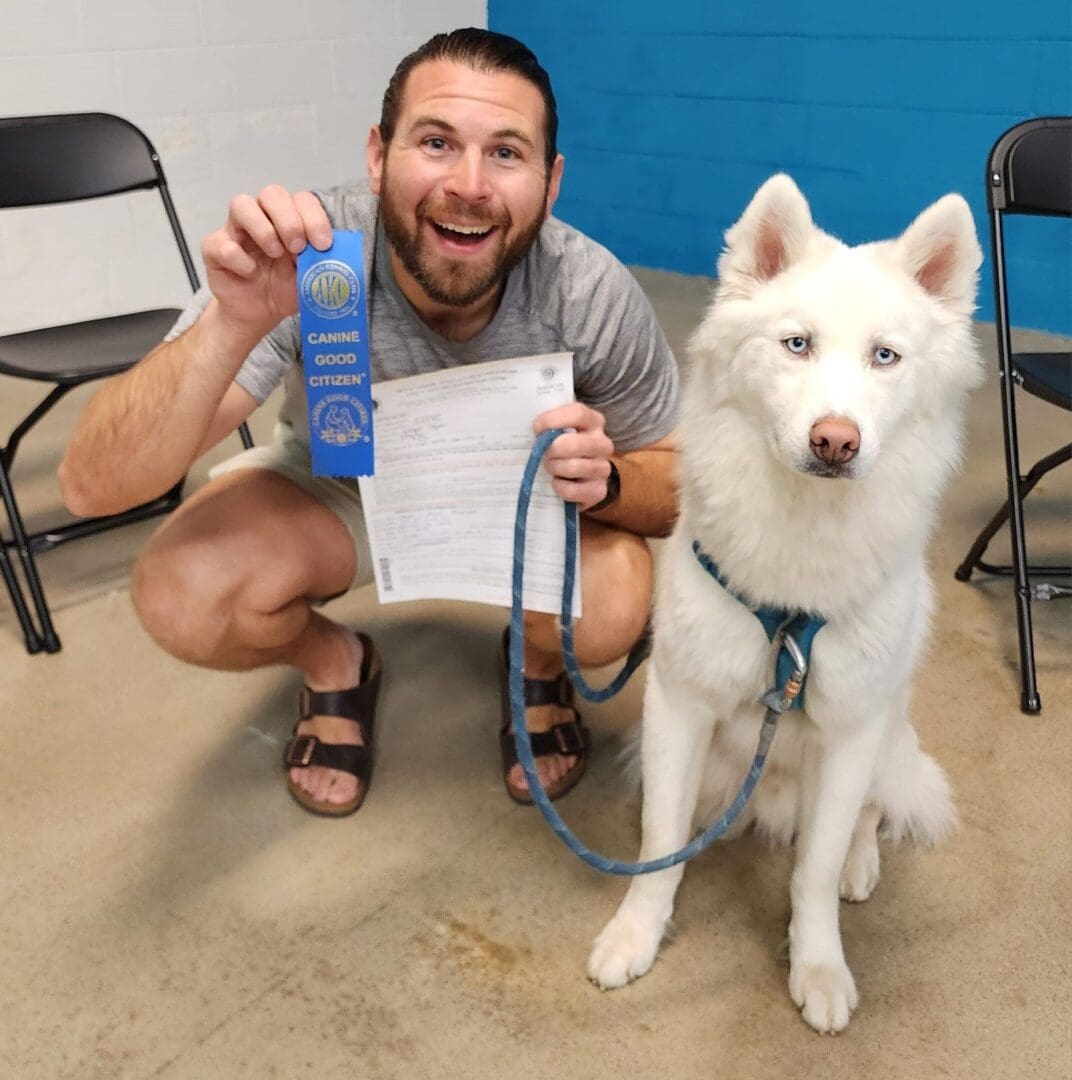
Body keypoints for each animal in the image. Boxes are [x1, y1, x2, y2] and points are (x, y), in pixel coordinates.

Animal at [591, 172, 984, 1032]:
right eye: (796, 344)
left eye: (884, 356)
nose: (835, 441)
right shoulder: (680, 705)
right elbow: (658, 842)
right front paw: (637, 935)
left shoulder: (848, 733)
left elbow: (814, 869)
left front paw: (820, 968)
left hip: (885, 737)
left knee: (866, 818)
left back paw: (862, 865)